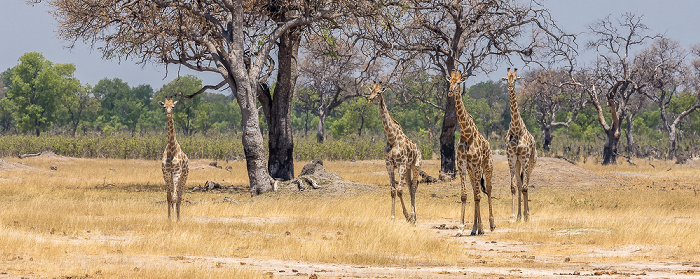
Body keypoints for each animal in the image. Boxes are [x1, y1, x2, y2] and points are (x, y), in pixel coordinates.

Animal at [366, 82, 422, 224]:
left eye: (379, 92)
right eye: (371, 91)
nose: (369, 99)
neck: (392, 138)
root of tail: (418, 150)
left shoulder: (401, 164)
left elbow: (400, 190)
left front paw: (407, 216)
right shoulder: (389, 164)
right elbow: (392, 190)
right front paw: (392, 217)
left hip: (416, 165)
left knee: (414, 187)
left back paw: (413, 216)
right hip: (407, 169)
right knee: (410, 186)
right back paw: (414, 216)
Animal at [448, 70, 492, 236]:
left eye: (458, 82)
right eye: (449, 81)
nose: (450, 92)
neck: (467, 133)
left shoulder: (477, 164)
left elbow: (479, 196)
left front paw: (482, 228)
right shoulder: (462, 165)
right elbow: (465, 195)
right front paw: (461, 228)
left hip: (486, 166)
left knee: (488, 190)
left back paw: (491, 225)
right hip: (472, 170)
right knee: (475, 192)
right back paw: (474, 229)